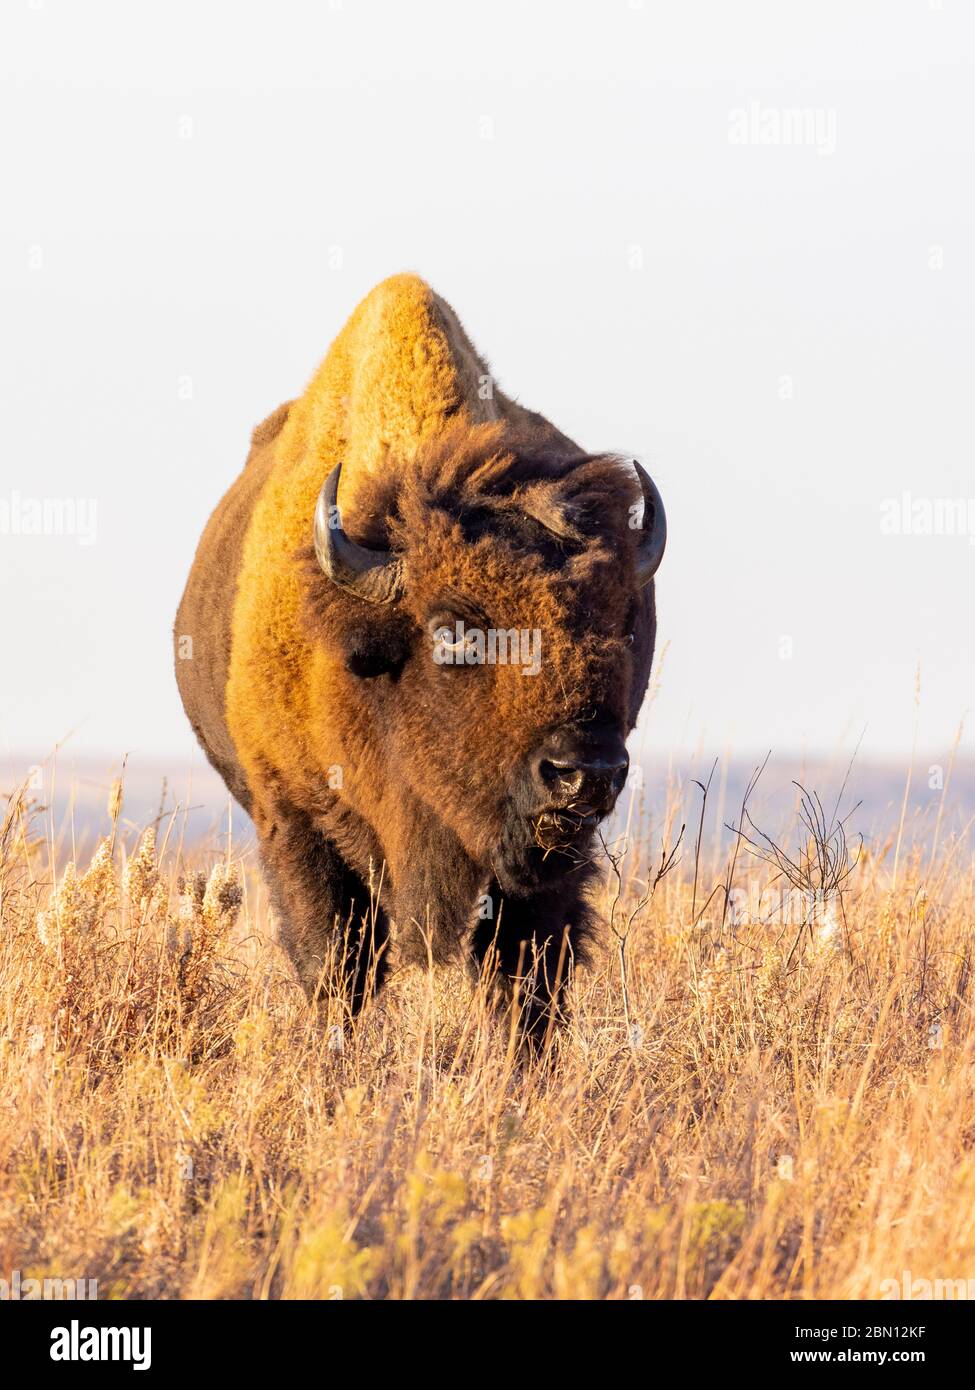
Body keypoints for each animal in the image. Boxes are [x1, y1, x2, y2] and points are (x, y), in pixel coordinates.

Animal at [174, 274, 665, 1045]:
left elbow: (525, 975)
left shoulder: (549, 862)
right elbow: (337, 967)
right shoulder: (295, 820)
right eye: (454, 632)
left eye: (620, 624)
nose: (583, 772)